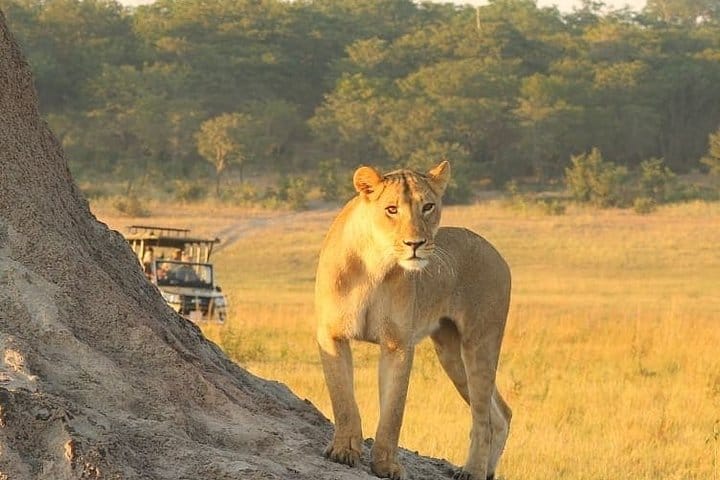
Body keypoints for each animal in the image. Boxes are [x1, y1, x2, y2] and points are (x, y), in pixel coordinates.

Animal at [315, 161, 512, 480]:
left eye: (428, 206)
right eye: (391, 209)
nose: (415, 243)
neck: (375, 265)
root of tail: (496, 253)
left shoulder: (399, 343)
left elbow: (394, 410)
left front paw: (387, 465)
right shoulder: (332, 334)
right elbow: (342, 398)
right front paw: (344, 450)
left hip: (480, 343)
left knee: (484, 418)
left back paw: (473, 471)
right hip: (451, 354)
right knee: (501, 413)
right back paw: (487, 469)